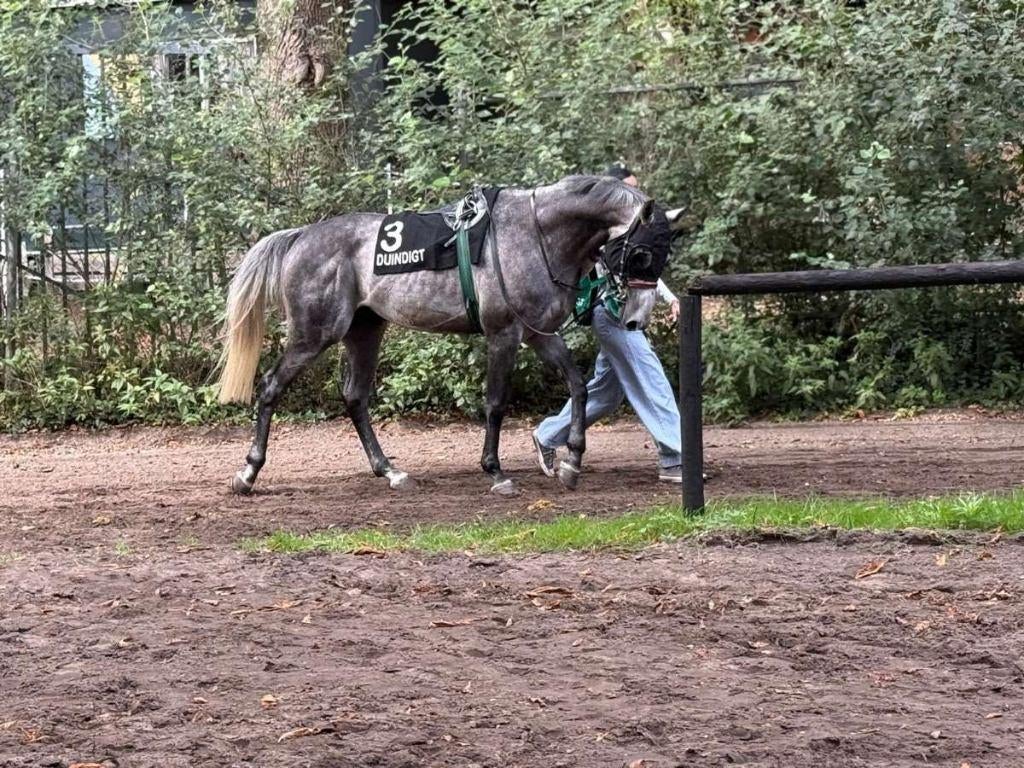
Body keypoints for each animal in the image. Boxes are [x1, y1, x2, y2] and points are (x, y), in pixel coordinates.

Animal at [216, 174, 674, 497]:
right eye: (641, 253)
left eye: (664, 254)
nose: (635, 320)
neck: (535, 233)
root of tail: (301, 237)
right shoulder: (503, 334)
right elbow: (495, 403)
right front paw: (496, 472)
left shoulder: (537, 333)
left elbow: (577, 385)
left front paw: (572, 462)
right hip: (314, 334)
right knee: (271, 387)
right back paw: (248, 472)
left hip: (365, 331)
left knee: (355, 397)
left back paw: (390, 471)